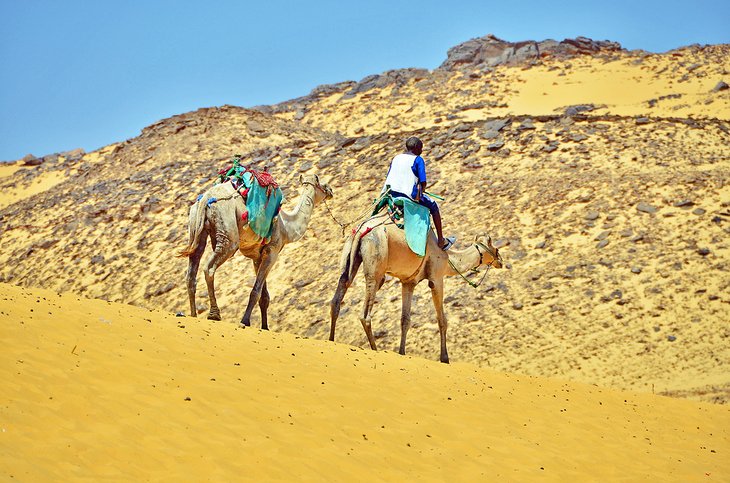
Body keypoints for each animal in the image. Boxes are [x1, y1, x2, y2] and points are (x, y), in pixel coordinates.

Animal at [179, 174, 332, 328]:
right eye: (322, 184)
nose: (330, 190)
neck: (286, 227)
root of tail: (206, 198)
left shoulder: (257, 257)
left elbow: (264, 297)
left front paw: (265, 327)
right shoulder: (272, 252)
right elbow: (256, 292)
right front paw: (245, 321)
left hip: (195, 227)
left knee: (191, 273)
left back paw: (193, 314)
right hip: (228, 232)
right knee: (210, 267)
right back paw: (214, 314)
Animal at [328, 216, 500, 364]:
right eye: (494, 247)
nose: (500, 260)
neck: (448, 258)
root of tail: (361, 230)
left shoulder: (408, 282)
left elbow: (405, 320)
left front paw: (402, 352)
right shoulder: (436, 278)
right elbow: (442, 320)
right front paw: (445, 358)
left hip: (349, 253)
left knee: (339, 292)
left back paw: (331, 340)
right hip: (376, 261)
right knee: (365, 313)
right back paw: (375, 350)